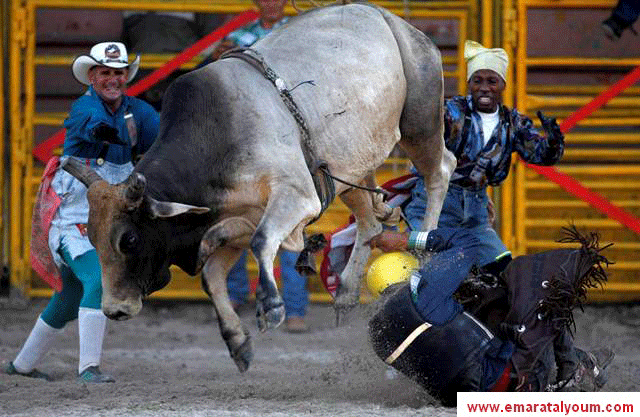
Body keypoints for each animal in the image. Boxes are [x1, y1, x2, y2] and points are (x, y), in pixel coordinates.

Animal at [62, 3, 458, 370]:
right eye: (92, 236)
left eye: (128, 239)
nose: (114, 309)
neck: (219, 140)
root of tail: (389, 19)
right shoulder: (236, 219)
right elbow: (213, 274)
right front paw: (237, 340)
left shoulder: (296, 195)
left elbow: (262, 241)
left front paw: (271, 304)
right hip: (351, 169)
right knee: (371, 222)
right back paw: (347, 289)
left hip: (419, 123)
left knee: (441, 169)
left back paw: (425, 244)